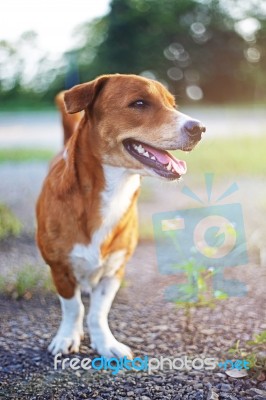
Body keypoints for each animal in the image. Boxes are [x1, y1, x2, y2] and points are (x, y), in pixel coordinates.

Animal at [35, 73, 206, 358]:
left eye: (172, 104)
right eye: (139, 103)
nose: (200, 128)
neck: (114, 190)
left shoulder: (114, 270)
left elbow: (98, 312)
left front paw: (105, 343)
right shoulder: (60, 268)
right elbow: (73, 307)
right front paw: (68, 336)